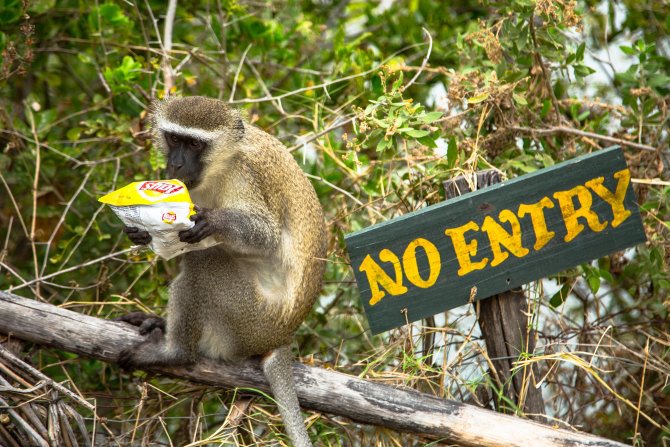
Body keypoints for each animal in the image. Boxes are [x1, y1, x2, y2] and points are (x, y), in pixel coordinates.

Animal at [122, 96, 332, 446]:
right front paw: (140, 231)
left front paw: (213, 221)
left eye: (195, 144)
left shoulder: (244, 175)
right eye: (175, 139)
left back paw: (174, 353)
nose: (176, 164)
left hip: (247, 320)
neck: (222, 163)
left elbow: (266, 236)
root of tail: (281, 336)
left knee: (203, 264)